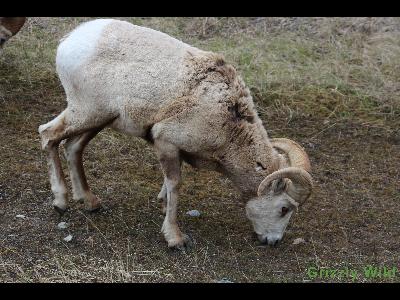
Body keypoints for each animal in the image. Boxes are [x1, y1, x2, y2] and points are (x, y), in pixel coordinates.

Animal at [39, 18, 312, 248]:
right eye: (284, 208)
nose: (273, 241)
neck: (229, 122)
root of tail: (68, 41)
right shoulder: (167, 142)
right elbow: (175, 184)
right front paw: (175, 238)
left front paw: (162, 206)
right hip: (85, 112)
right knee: (48, 134)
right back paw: (60, 202)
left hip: (98, 119)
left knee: (72, 147)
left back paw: (90, 202)